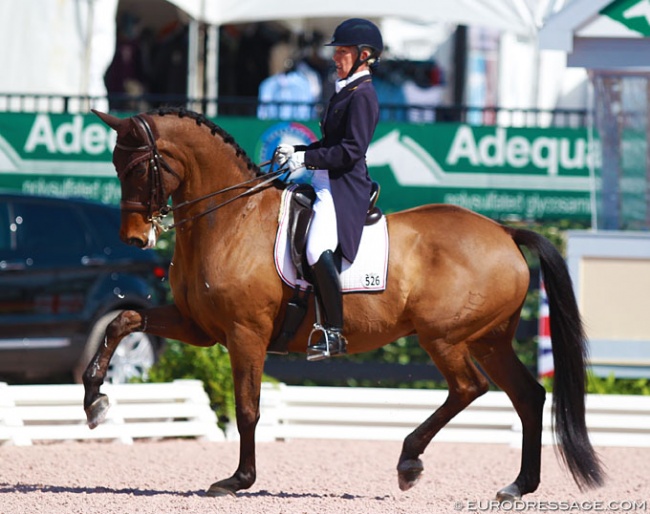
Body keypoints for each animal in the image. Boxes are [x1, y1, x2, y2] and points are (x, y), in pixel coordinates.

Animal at [85, 107, 604, 496]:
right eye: (113, 164)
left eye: (138, 166)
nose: (134, 238)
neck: (232, 219)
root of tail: (504, 231)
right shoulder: (198, 326)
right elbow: (123, 320)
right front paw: (94, 400)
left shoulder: (244, 334)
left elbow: (248, 407)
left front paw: (238, 480)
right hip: (488, 339)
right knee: (527, 396)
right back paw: (518, 486)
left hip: (445, 337)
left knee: (469, 388)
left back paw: (410, 460)